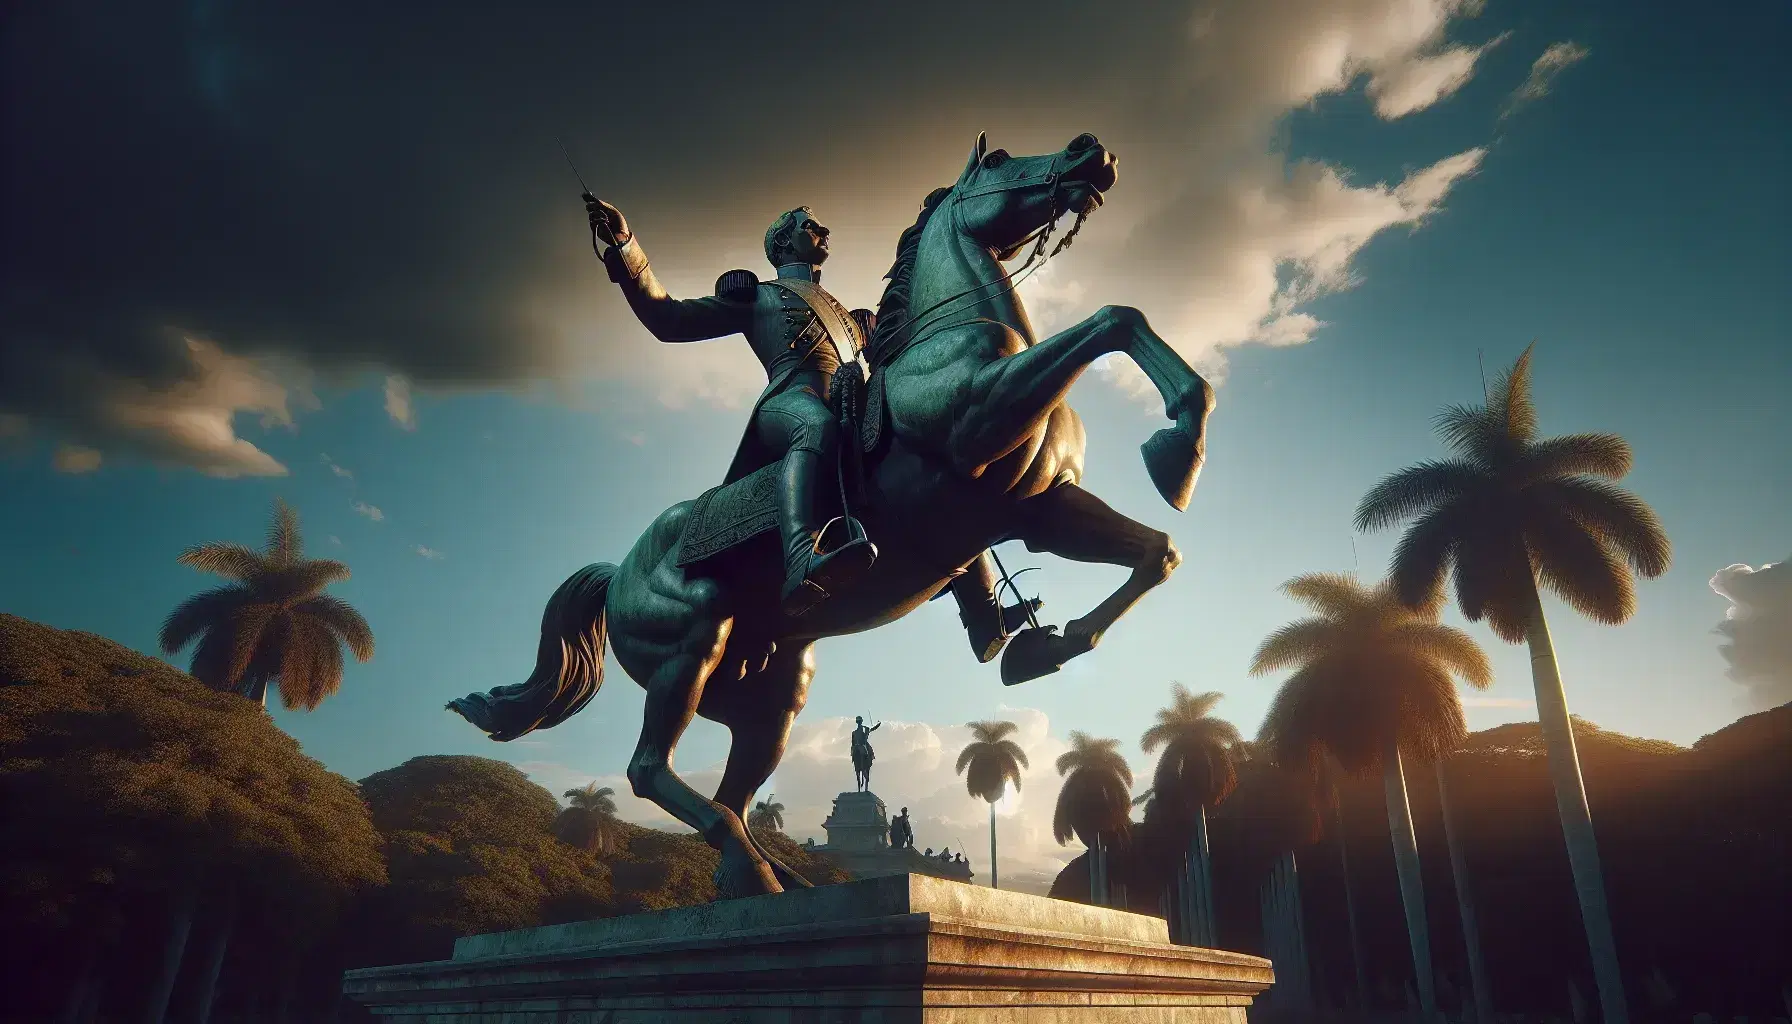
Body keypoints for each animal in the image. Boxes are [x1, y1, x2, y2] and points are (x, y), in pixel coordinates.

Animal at [451, 130, 1218, 896]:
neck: (955, 334)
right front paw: (1177, 442)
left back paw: (768, 874)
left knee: (732, 794)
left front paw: (1055, 637)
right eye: (999, 159)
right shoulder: (986, 416)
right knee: (649, 768)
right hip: (691, 641)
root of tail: (618, 572)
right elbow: (1109, 319)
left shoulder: (1038, 510)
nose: (1091, 151)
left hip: (772, 690)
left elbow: (1157, 552)